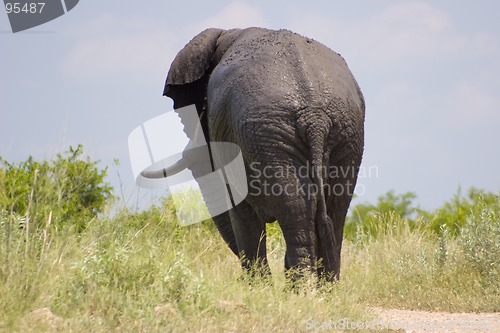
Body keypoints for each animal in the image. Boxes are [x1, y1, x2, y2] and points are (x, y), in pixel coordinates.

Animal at [156, 27, 364, 280]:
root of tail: (315, 117)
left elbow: (241, 213)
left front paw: (259, 286)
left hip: (270, 134)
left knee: (297, 213)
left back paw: (301, 286)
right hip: (341, 134)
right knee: (334, 211)